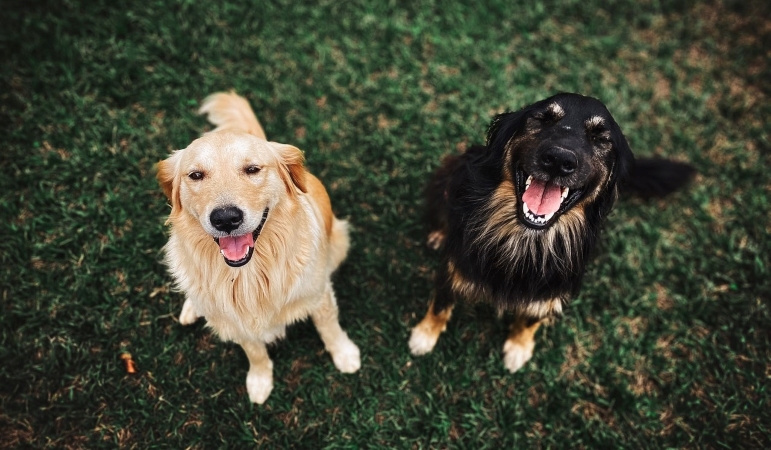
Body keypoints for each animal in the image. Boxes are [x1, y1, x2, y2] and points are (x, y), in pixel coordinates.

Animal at [159, 91, 362, 404]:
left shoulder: (319, 295)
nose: (226, 218)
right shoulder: (238, 322)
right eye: (195, 175)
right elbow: (254, 352)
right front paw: (259, 380)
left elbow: (330, 328)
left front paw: (344, 354)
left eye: (252, 169)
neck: (248, 275)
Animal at [410, 92, 692, 372]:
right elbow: (441, 304)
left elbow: (530, 319)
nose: (559, 160)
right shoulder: (454, 266)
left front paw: (518, 348)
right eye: (543, 119)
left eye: (600, 138)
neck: (526, 239)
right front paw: (424, 336)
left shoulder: (550, 290)